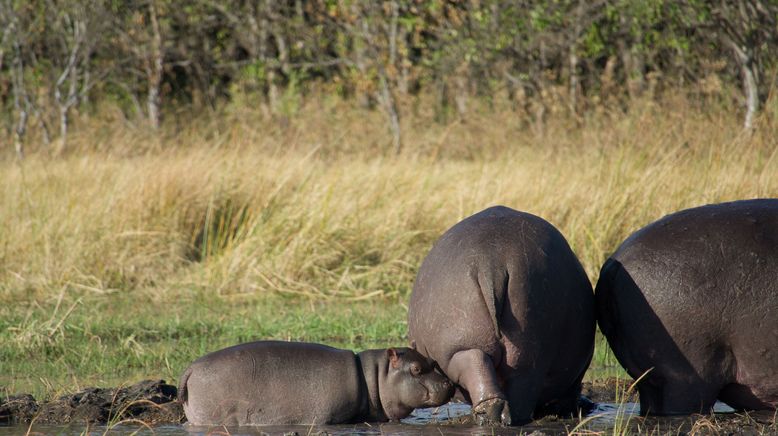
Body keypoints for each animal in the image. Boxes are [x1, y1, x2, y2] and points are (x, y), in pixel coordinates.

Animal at [406, 206, 596, 424]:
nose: (589, 403)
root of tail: (492, 262)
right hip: (520, 344)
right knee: (510, 384)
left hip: (466, 343)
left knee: (483, 369)